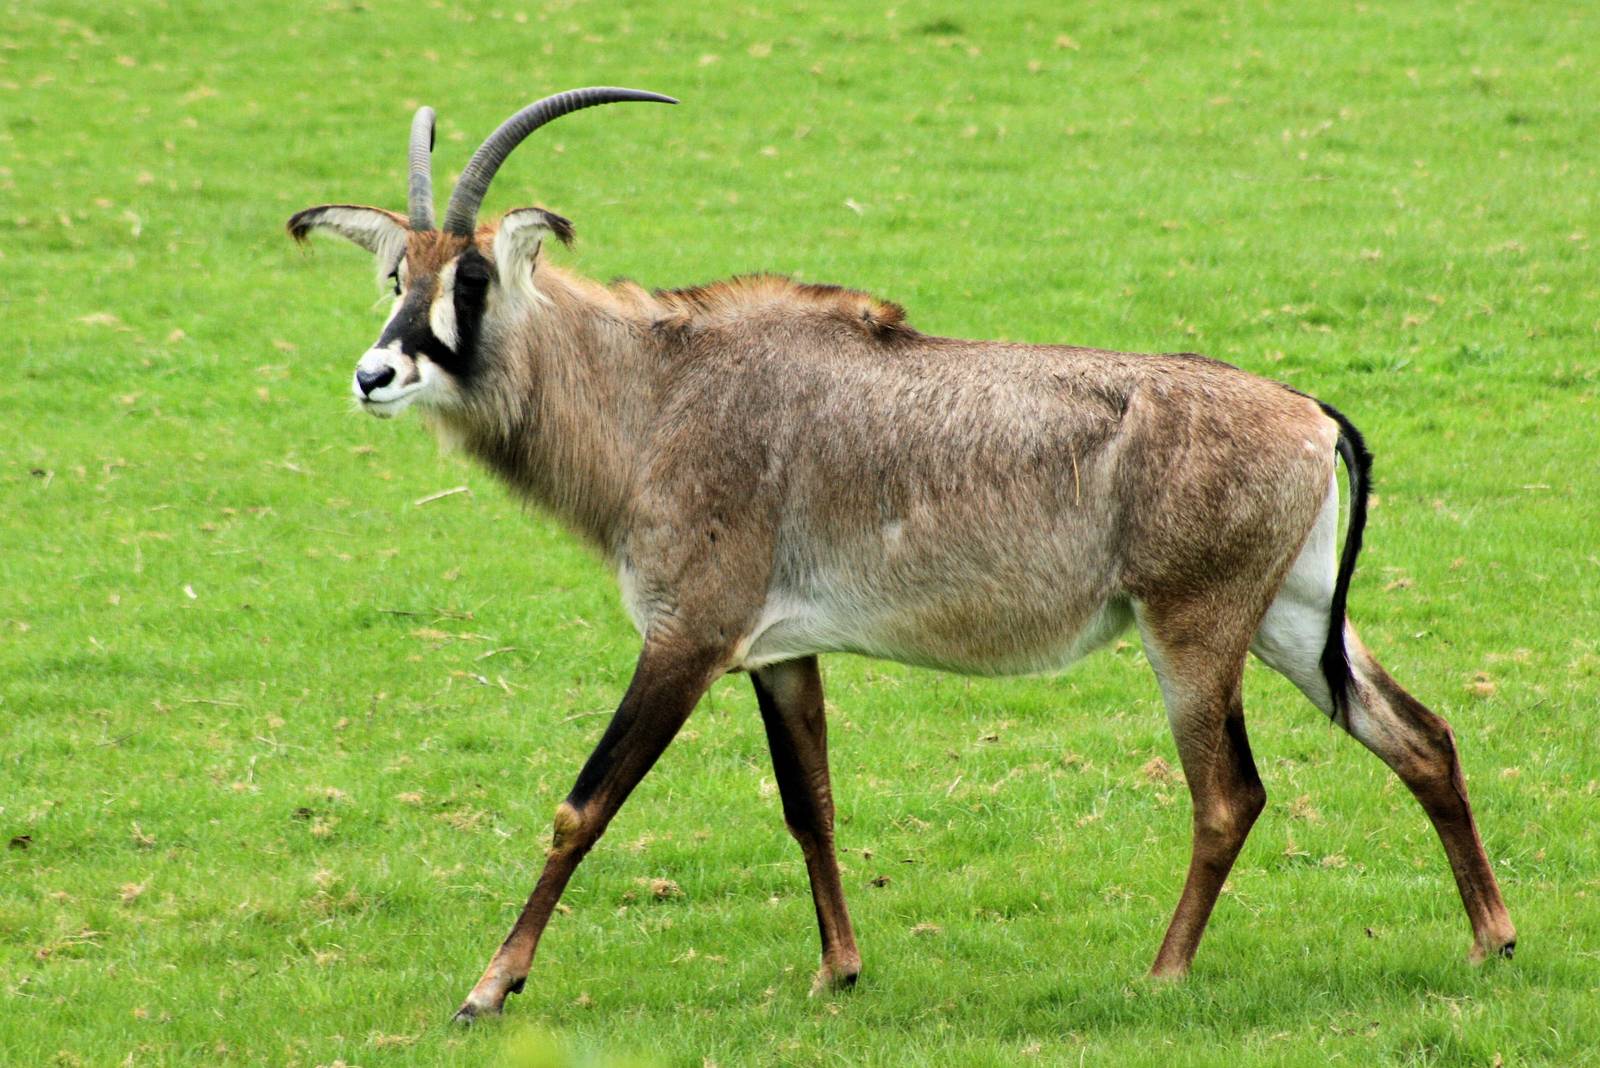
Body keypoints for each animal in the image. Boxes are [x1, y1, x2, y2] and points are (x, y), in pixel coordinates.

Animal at [286, 88, 1516, 1023]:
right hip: (1294, 622)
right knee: (1421, 738)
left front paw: (489, 989)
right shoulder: (777, 653)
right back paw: (1489, 941)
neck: (657, 394)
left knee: (1228, 796)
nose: (375, 375)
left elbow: (581, 808)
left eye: (471, 281)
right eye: (396, 278)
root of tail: (1308, 412)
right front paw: (838, 969)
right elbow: (811, 805)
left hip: (1195, 632)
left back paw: (1163, 975)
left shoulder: (687, 639)